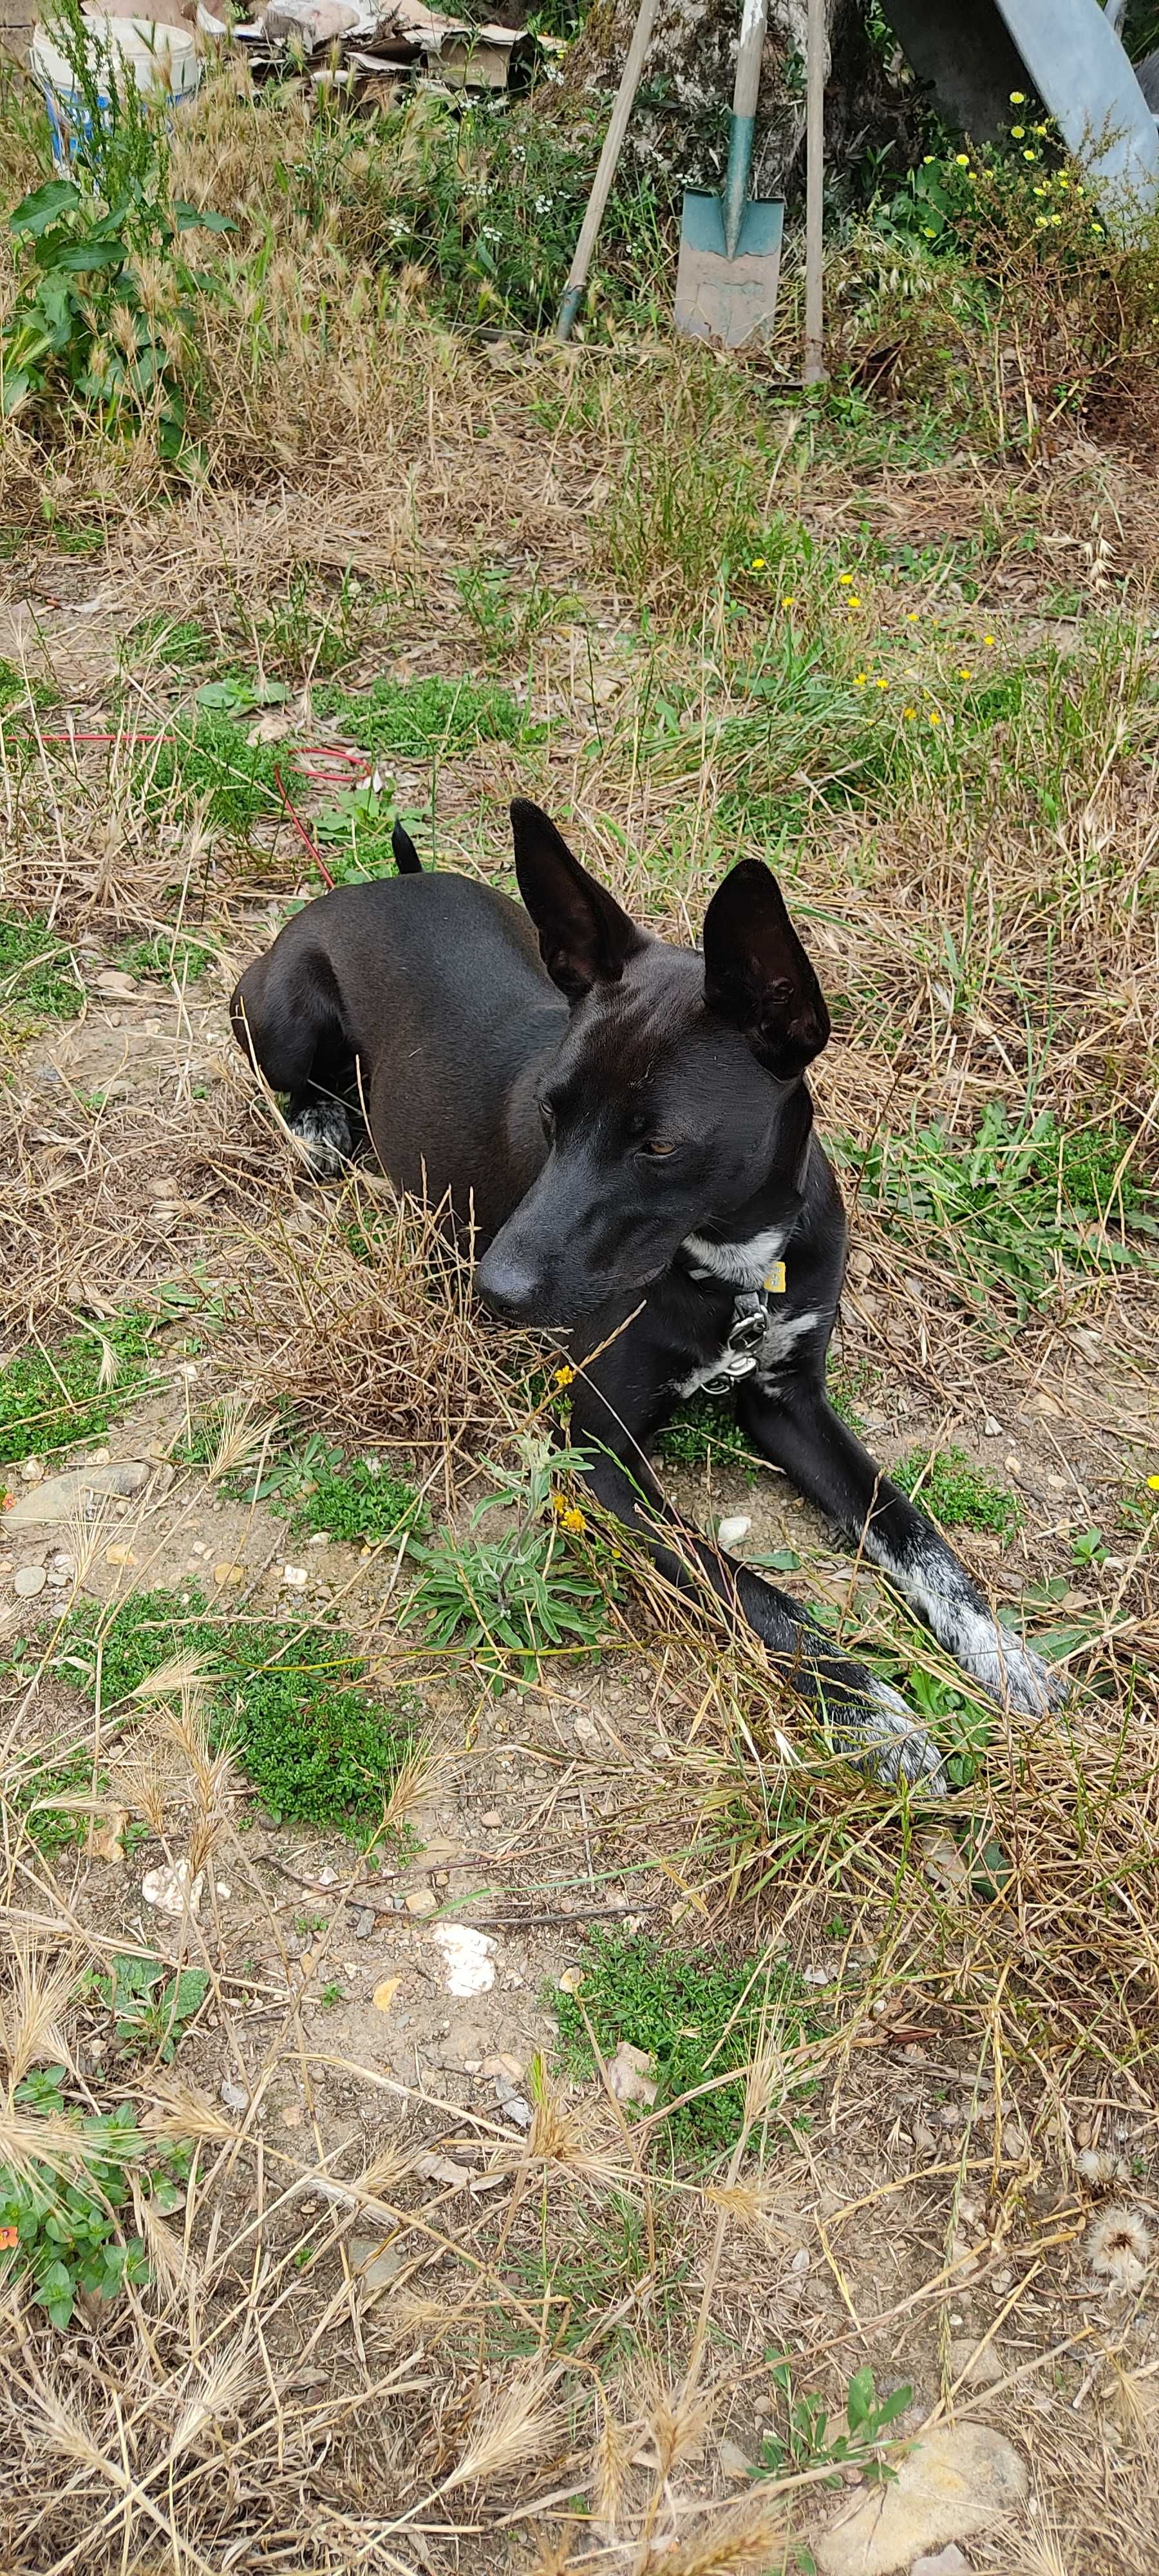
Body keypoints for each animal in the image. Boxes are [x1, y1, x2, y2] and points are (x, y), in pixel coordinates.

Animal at [229, 804, 1061, 1793]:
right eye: (550, 1111)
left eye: (659, 1145)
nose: (493, 1289)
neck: (735, 1268)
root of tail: (371, 885)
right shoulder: (597, 1464)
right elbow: (747, 1588)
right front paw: (872, 1710)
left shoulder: (789, 1402)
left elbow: (911, 1527)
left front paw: (999, 1648)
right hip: (280, 1021)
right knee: (291, 1074)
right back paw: (321, 1122)